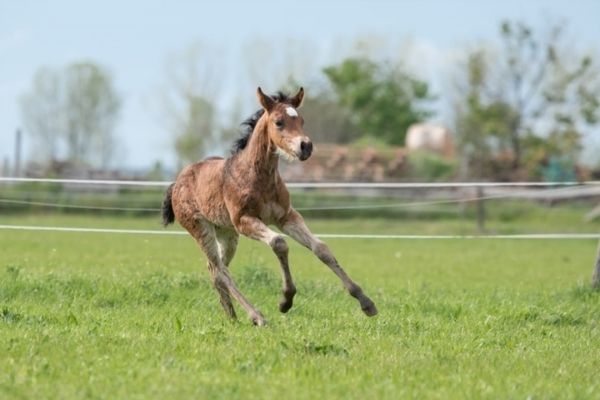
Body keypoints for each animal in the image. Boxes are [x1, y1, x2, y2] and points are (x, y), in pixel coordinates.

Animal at [162, 86, 378, 324]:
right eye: (279, 122)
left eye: (302, 120)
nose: (306, 146)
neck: (258, 177)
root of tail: (176, 183)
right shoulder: (245, 221)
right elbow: (279, 243)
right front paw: (286, 300)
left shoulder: (287, 217)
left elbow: (321, 248)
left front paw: (366, 302)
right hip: (202, 229)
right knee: (220, 270)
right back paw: (256, 316)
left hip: (227, 233)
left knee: (216, 270)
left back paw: (232, 317)